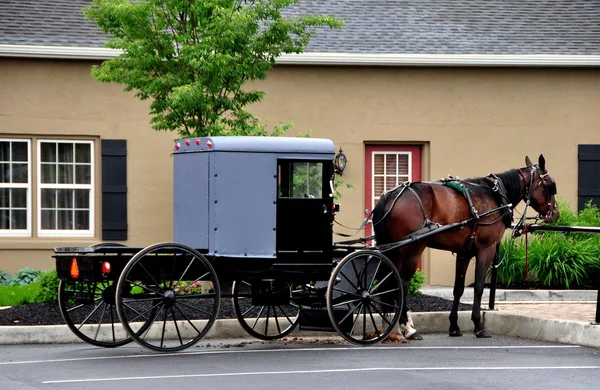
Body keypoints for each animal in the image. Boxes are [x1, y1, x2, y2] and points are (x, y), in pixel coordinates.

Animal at [372, 155, 560, 338]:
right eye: (551, 186)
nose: (556, 214)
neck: (495, 195)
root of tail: (391, 196)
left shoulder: (464, 253)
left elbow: (458, 289)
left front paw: (454, 326)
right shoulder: (486, 249)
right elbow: (478, 287)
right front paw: (478, 326)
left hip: (395, 251)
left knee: (392, 282)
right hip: (412, 250)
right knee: (402, 284)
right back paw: (408, 328)